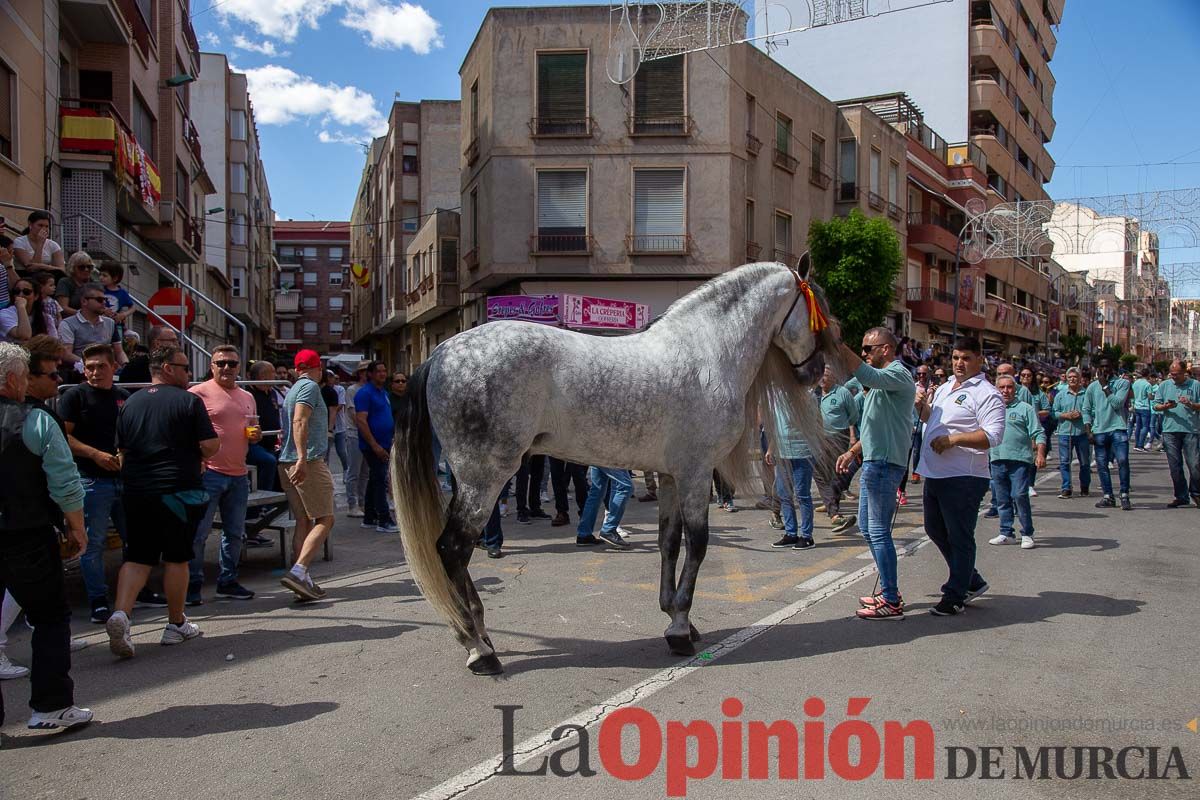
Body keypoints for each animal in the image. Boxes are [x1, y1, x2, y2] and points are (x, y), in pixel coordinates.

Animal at [391, 260, 835, 671]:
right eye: (821, 312)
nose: (817, 372)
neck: (707, 350)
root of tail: (440, 353)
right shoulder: (695, 474)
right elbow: (698, 544)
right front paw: (680, 631)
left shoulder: (671, 476)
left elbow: (669, 542)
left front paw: (676, 616)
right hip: (484, 479)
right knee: (452, 548)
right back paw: (478, 647)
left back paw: (479, 637)